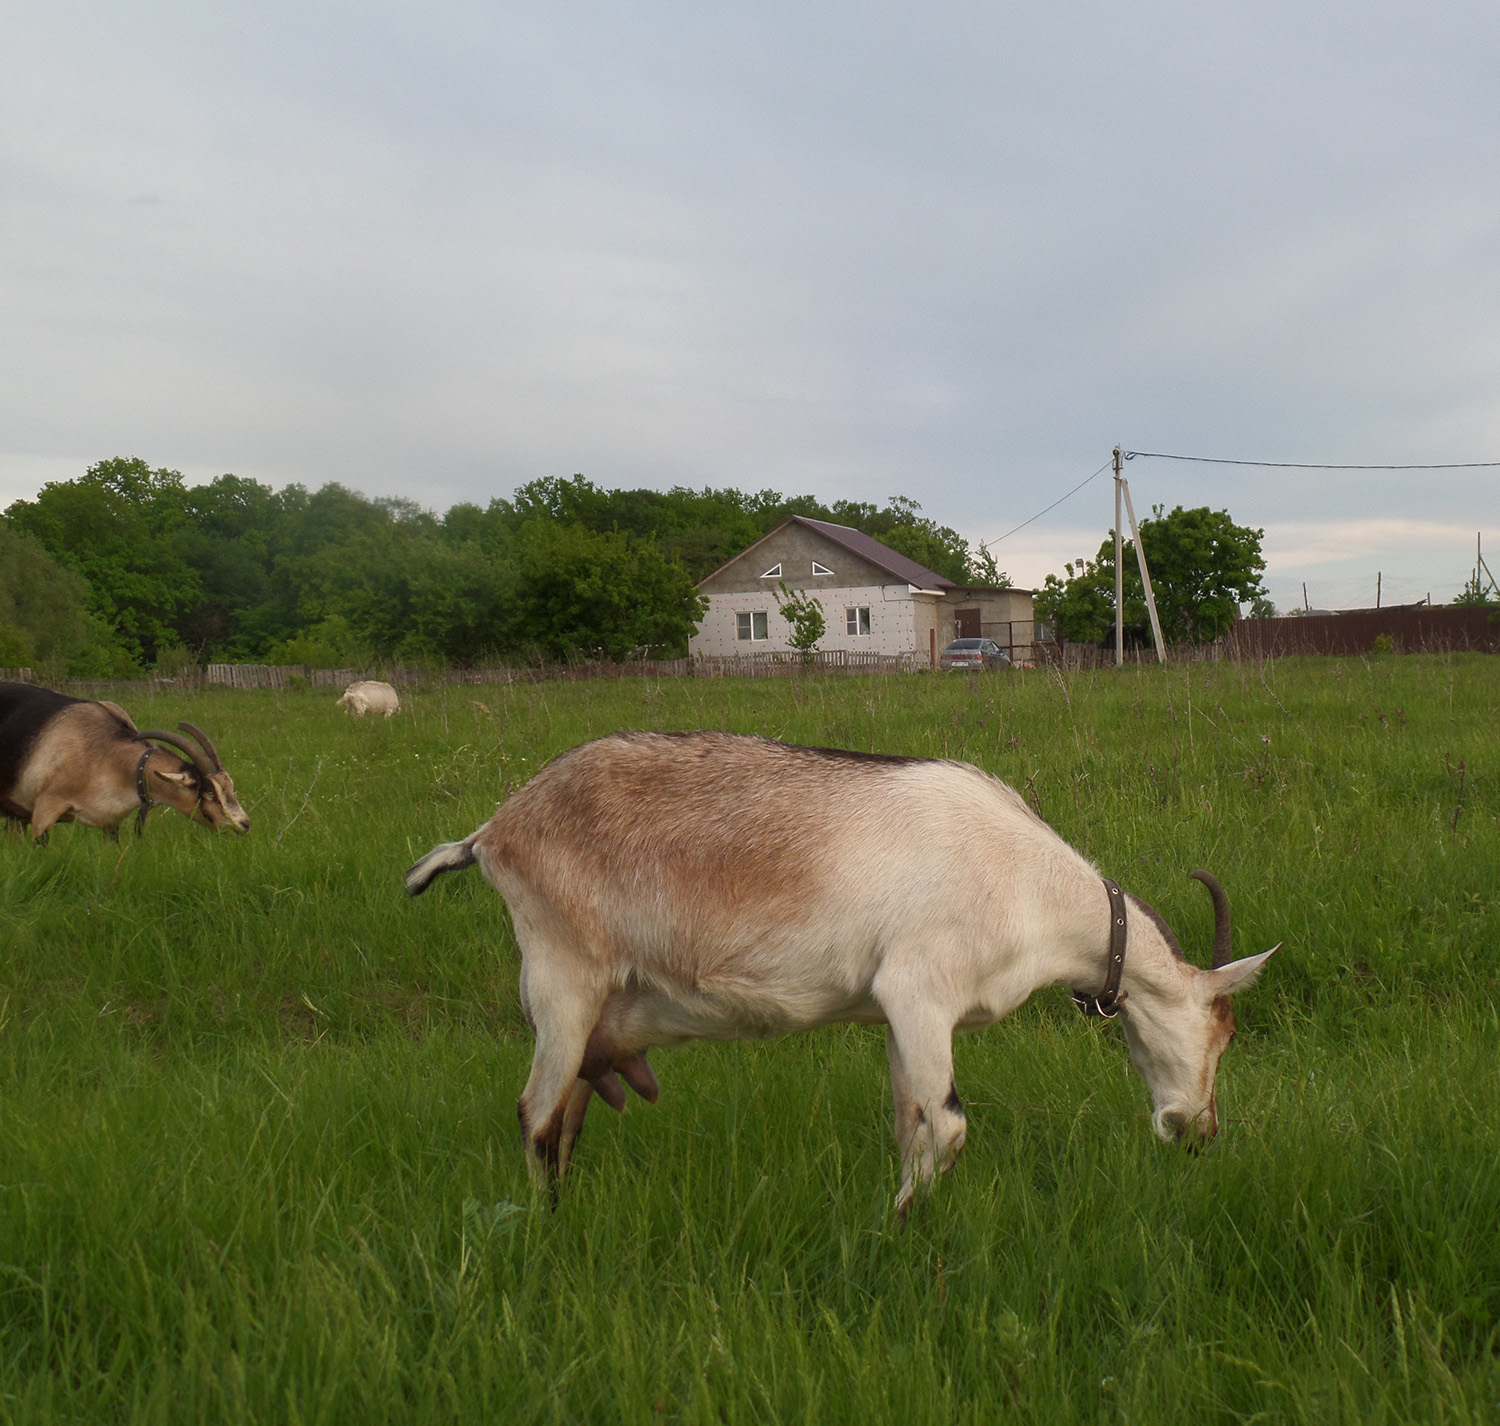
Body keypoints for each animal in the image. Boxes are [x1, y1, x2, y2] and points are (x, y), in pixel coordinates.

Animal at [411, 734, 1278, 1217]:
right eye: (1222, 1033)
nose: (1197, 1132)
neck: (1030, 887)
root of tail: (493, 832)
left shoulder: (900, 1017)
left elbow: (911, 1125)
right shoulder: (920, 990)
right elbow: (949, 1128)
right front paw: (897, 1229)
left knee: (566, 1120)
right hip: (563, 978)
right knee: (537, 1115)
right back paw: (547, 1230)